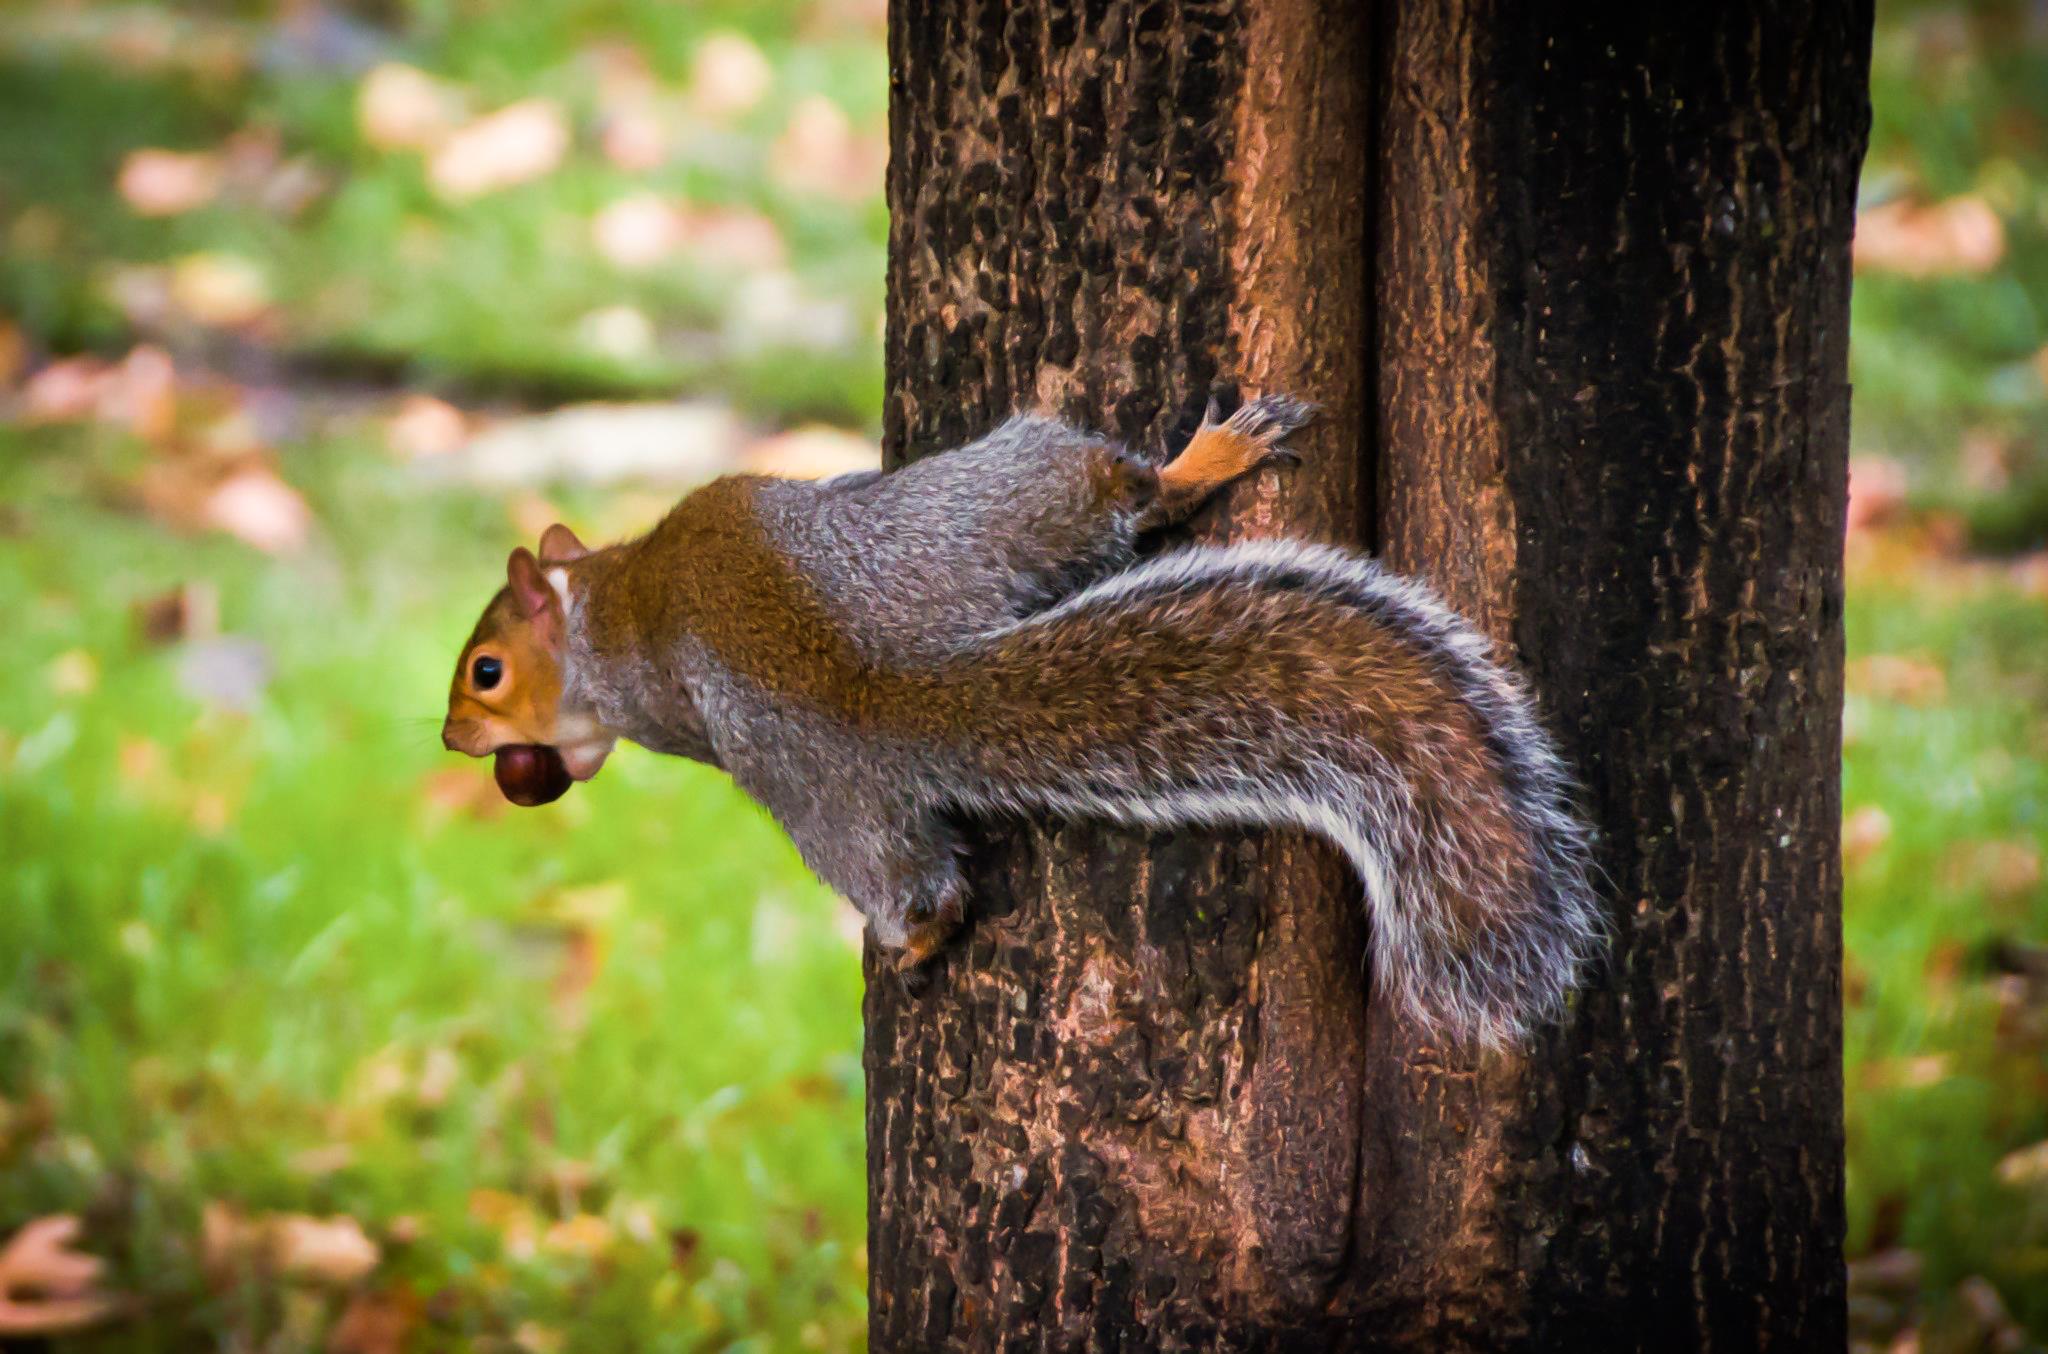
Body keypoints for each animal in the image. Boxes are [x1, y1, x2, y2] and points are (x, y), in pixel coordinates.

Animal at [441, 396, 1600, 1045]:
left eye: (485, 672)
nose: (453, 741)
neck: (607, 589)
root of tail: (884, 678)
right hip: (965, 525)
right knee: (1114, 496)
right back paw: (1204, 467)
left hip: (831, 776)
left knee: (921, 888)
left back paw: (906, 941)